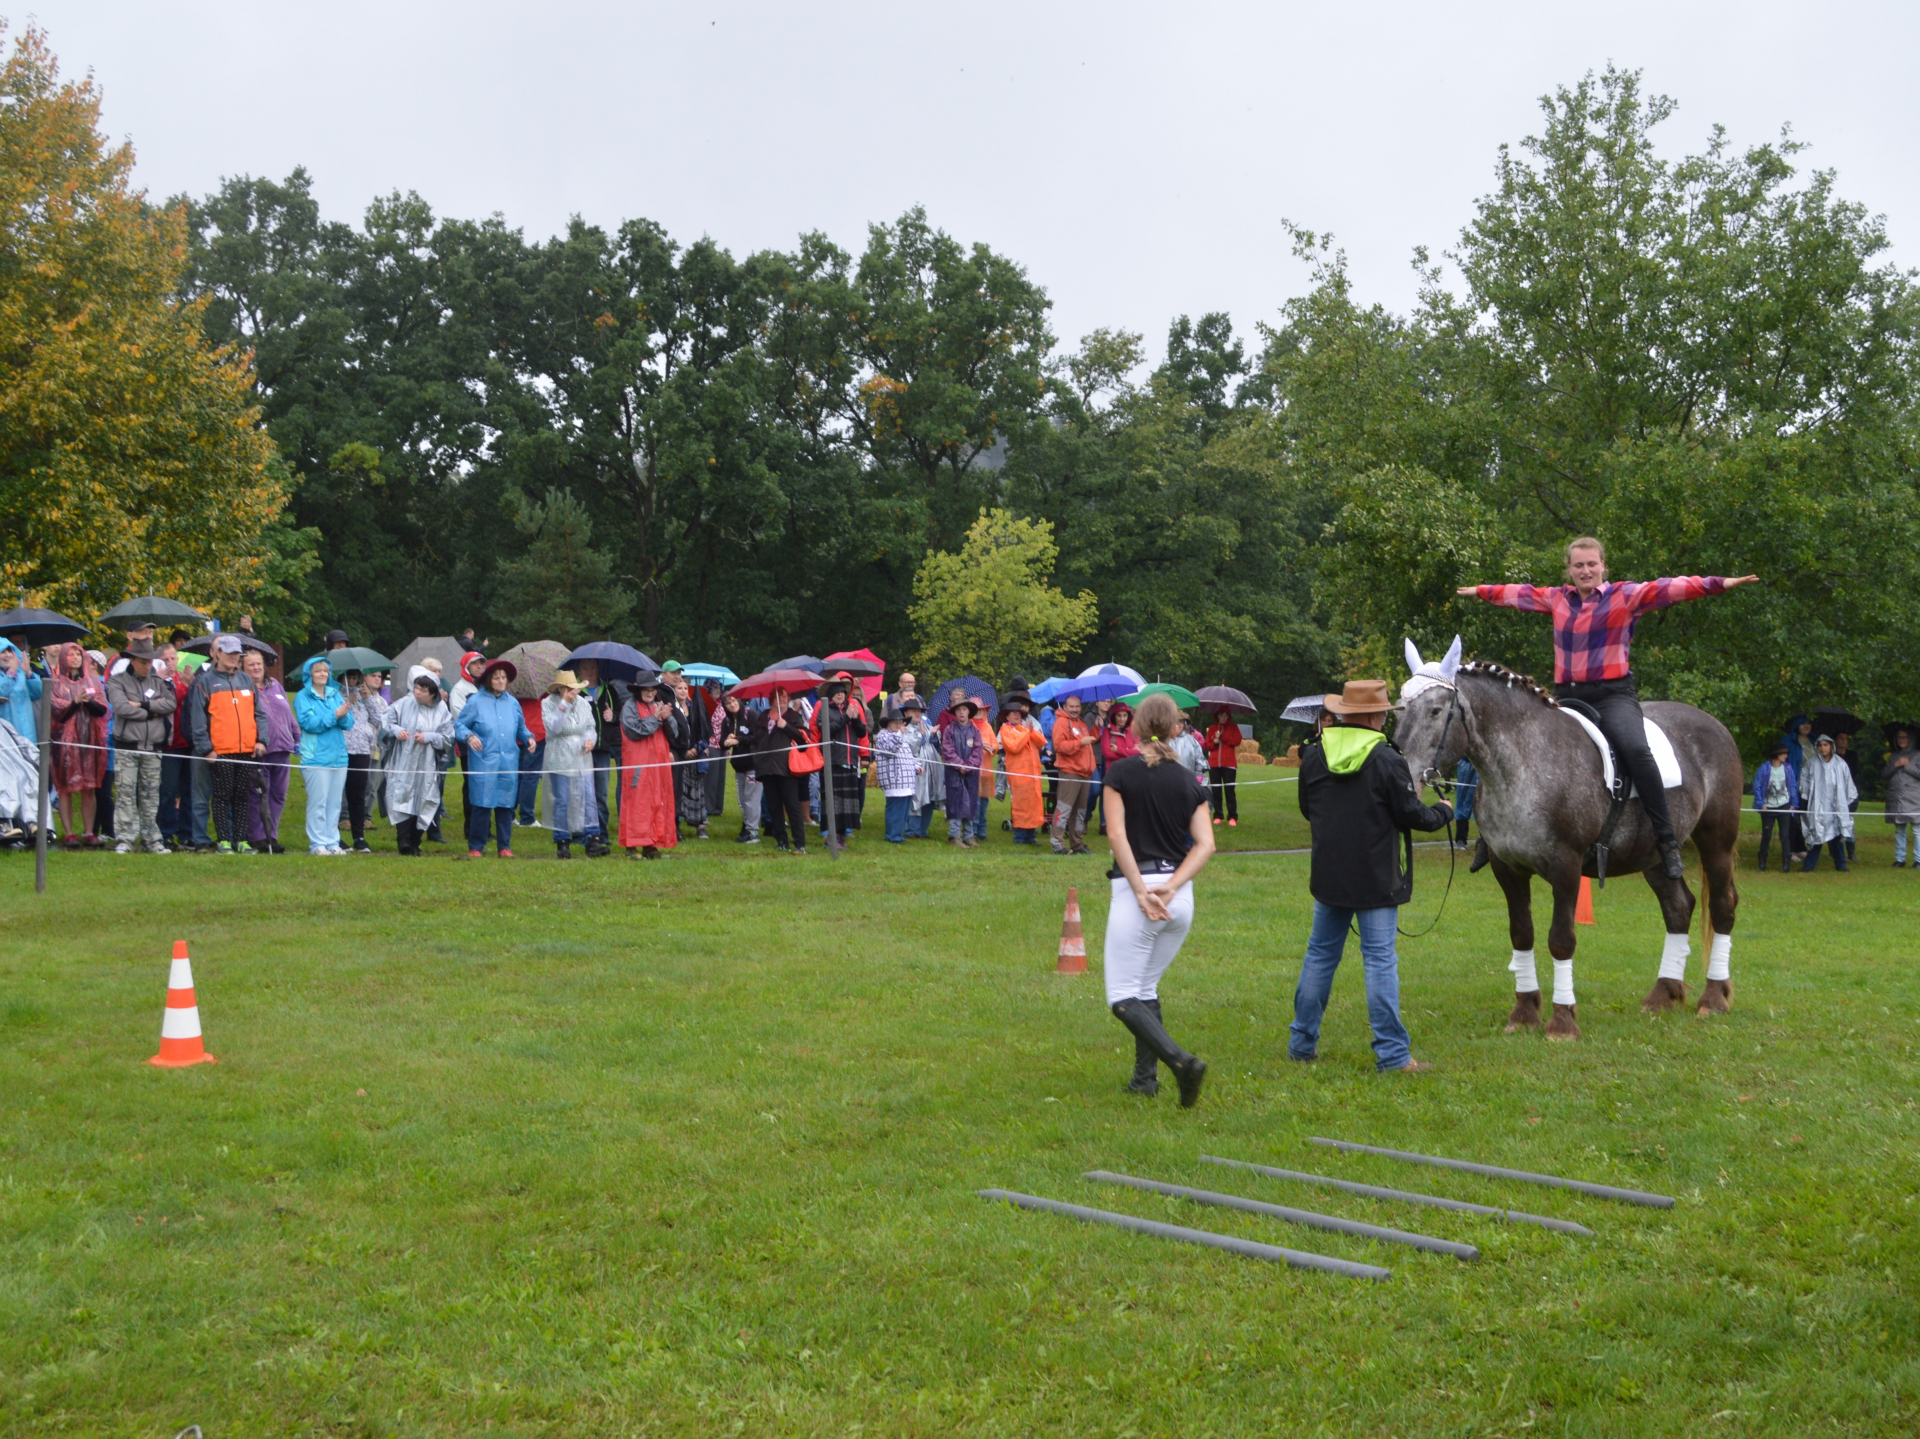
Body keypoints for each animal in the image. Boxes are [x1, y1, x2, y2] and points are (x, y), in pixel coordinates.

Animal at [1390, 649, 1751, 1029]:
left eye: (1435, 710)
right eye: (1401, 706)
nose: (1403, 772)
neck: (1525, 765)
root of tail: (1715, 725)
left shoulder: (1566, 867)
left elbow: (1561, 940)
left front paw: (1562, 1019)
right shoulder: (1508, 869)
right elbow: (1522, 934)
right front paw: (1524, 1012)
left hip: (1716, 841)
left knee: (1723, 906)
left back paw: (1713, 998)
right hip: (1653, 857)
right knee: (1678, 907)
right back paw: (1663, 994)